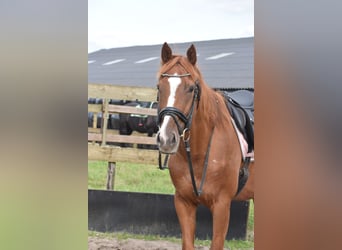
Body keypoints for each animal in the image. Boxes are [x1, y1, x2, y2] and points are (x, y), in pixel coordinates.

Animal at [156, 42, 254, 249]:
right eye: (160, 87)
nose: (167, 139)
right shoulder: (183, 202)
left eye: (191, 88)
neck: (199, 153)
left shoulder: (222, 205)